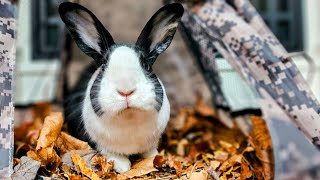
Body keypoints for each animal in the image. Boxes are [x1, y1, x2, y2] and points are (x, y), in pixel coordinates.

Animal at [58, 1, 184, 173]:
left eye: (147, 66)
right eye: (103, 66)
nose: (126, 91)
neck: (128, 119)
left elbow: (150, 152)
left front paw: (156, 158)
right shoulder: (99, 143)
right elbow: (111, 153)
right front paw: (122, 166)